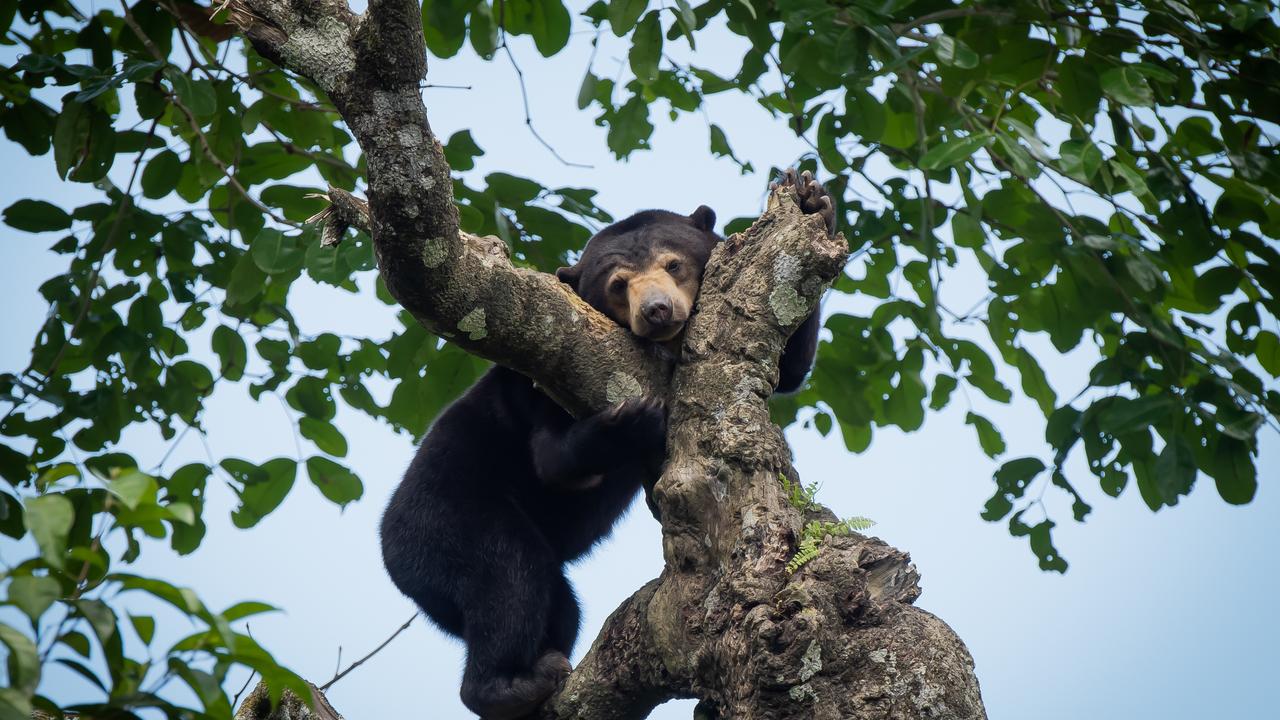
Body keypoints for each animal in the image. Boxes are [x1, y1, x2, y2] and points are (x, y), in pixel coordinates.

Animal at [379, 169, 835, 720]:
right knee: (509, 575)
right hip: (446, 520)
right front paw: (636, 419)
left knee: (558, 602)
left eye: (674, 264)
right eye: (618, 285)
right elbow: (553, 461)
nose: (658, 310)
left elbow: (790, 367)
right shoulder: (537, 380)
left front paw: (810, 197)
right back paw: (513, 684)